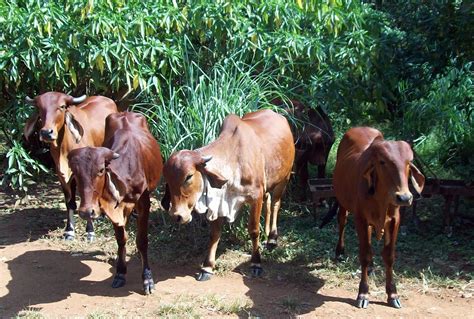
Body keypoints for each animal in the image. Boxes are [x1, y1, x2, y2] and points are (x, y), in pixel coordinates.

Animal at [23, 91, 118, 241]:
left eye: (61, 106)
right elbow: (70, 203)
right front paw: (69, 231)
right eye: (39, 108)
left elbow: (87, 197)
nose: (46, 132)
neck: (64, 149)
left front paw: (90, 231)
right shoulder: (62, 177)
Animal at [66, 112, 163, 296]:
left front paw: (147, 279)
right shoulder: (112, 210)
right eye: (75, 172)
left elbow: (141, 241)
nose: (86, 212)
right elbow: (121, 239)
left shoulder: (144, 202)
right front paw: (120, 272)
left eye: (101, 170)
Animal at [164, 109, 296, 282]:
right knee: (268, 203)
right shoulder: (219, 202)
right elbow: (214, 234)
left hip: (284, 178)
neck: (233, 161)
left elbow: (254, 230)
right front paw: (207, 267)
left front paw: (256, 263)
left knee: (275, 204)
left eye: (189, 176)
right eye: (167, 179)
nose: (177, 216)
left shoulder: (256, 197)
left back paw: (272, 238)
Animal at [332, 127, 424, 310]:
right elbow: (365, 255)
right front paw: (363, 293)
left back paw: (372, 268)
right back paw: (340, 252)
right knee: (342, 221)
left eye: (408, 163)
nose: (404, 197)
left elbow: (389, 256)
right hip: (342, 202)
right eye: (383, 162)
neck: (382, 198)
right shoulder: (360, 219)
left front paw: (392, 294)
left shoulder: (395, 221)